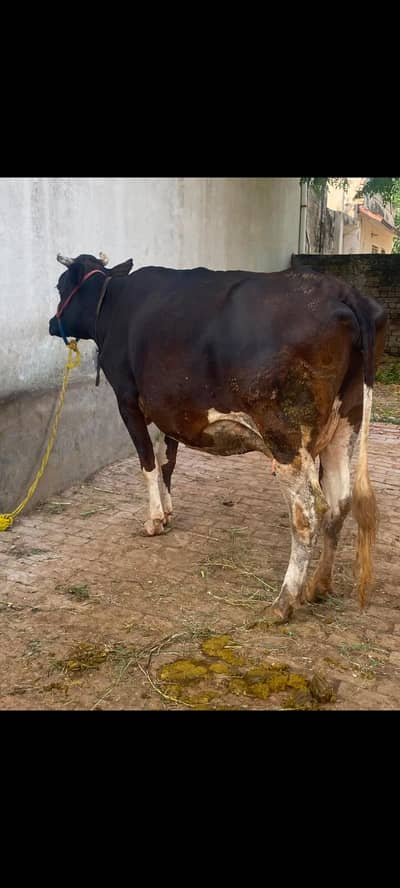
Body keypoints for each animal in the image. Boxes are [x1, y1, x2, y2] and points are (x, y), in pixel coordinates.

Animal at [49, 252, 387, 621]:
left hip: (285, 437)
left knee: (309, 513)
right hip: (345, 424)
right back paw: (318, 587)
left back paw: (283, 601)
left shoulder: (127, 399)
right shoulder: (170, 408)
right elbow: (167, 460)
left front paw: (154, 520)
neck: (113, 303)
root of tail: (343, 291)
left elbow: (148, 462)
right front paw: (168, 512)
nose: (52, 323)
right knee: (340, 502)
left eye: (60, 286)